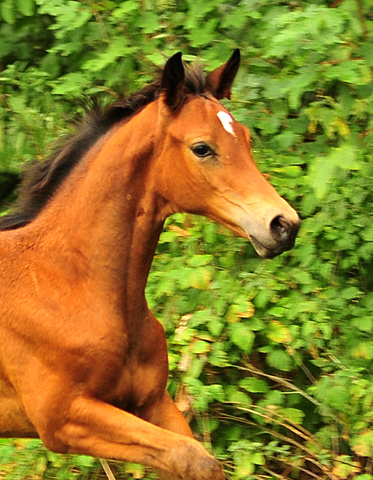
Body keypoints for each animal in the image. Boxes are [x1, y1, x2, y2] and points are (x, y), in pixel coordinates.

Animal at [0, 50, 300, 478]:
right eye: (202, 148)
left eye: (245, 138)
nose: (284, 225)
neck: (63, 282)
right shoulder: (62, 419)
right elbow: (193, 458)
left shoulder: (152, 401)